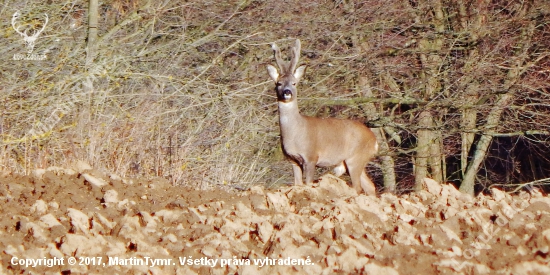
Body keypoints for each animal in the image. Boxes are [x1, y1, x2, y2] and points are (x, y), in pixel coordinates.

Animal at [268, 38, 380, 196]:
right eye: (279, 83)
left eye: (294, 83)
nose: (287, 92)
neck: (295, 133)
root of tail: (374, 140)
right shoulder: (293, 159)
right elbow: (297, 184)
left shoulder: (311, 156)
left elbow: (308, 183)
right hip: (354, 161)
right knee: (369, 185)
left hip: (356, 158)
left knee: (358, 187)